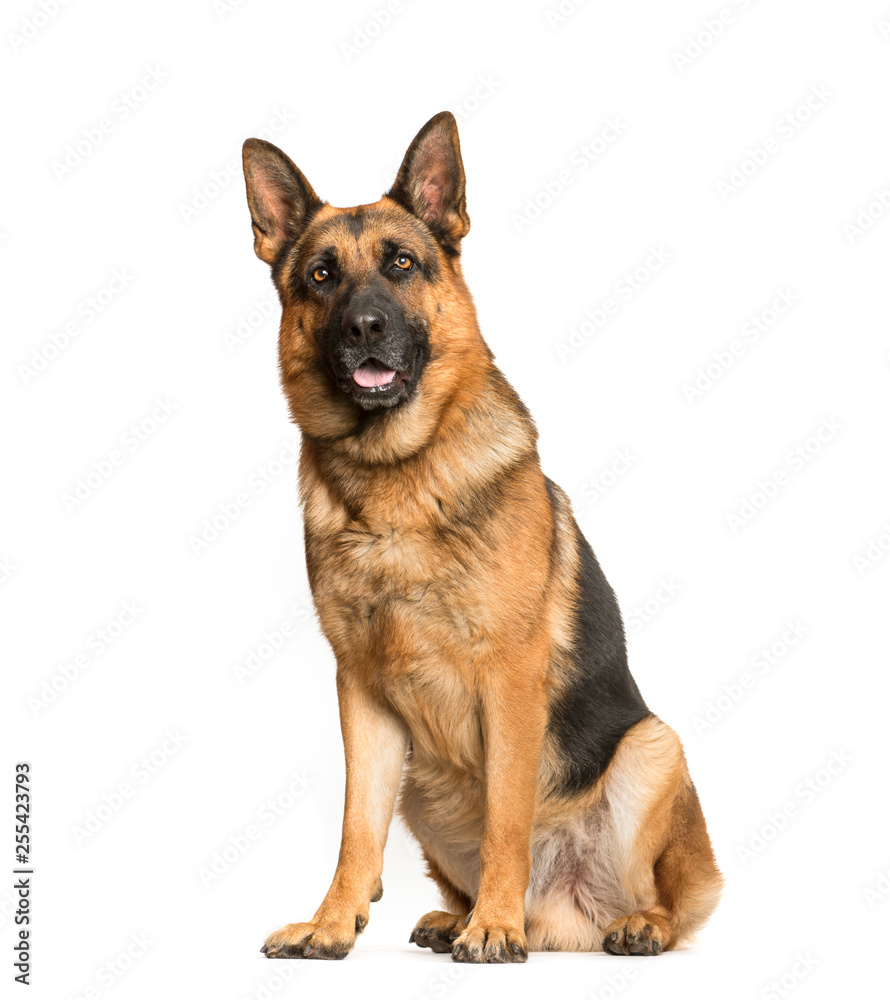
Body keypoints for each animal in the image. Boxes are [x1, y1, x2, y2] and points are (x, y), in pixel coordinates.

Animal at [241, 109, 720, 960]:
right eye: (322, 276)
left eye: (401, 263)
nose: (365, 326)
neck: (395, 478)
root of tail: (566, 917)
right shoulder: (360, 693)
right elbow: (354, 830)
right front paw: (332, 923)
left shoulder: (509, 678)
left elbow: (508, 816)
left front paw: (494, 926)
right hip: (420, 791)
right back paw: (452, 917)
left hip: (653, 748)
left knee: (666, 896)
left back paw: (612, 924)